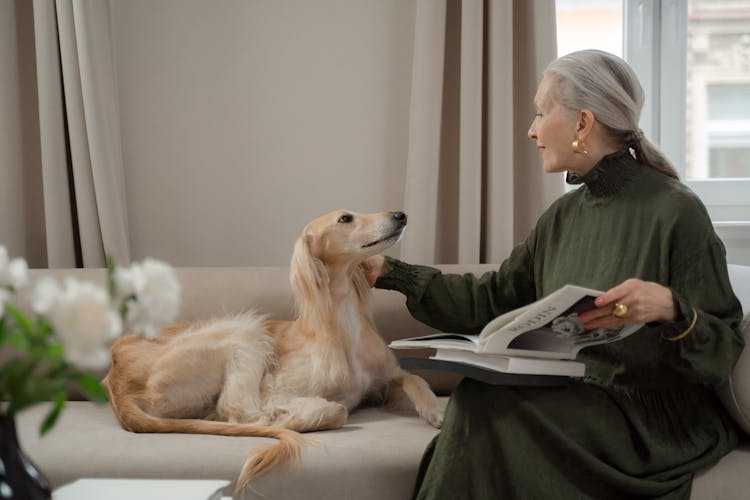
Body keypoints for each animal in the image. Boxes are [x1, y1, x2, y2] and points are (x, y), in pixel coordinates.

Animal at [103, 210, 444, 492]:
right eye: (345, 218)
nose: (400, 215)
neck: (342, 321)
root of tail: (116, 379)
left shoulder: (386, 377)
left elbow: (415, 379)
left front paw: (437, 411)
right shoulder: (277, 389)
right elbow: (333, 409)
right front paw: (300, 412)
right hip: (243, 331)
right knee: (238, 411)